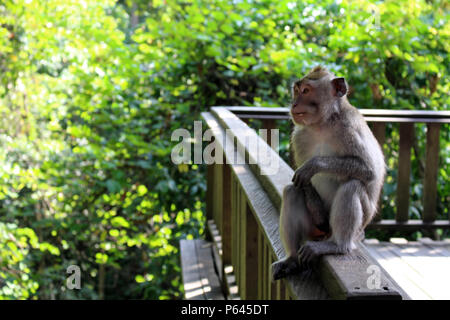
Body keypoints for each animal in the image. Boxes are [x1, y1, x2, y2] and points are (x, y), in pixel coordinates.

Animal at [272, 65, 384, 280]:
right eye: (296, 90)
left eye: (306, 91)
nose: (294, 104)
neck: (322, 125)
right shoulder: (299, 136)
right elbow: (301, 182)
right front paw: (317, 209)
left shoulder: (350, 128)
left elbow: (369, 170)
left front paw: (313, 166)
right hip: (313, 230)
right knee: (292, 192)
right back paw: (291, 258)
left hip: (360, 225)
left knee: (352, 187)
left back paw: (338, 246)